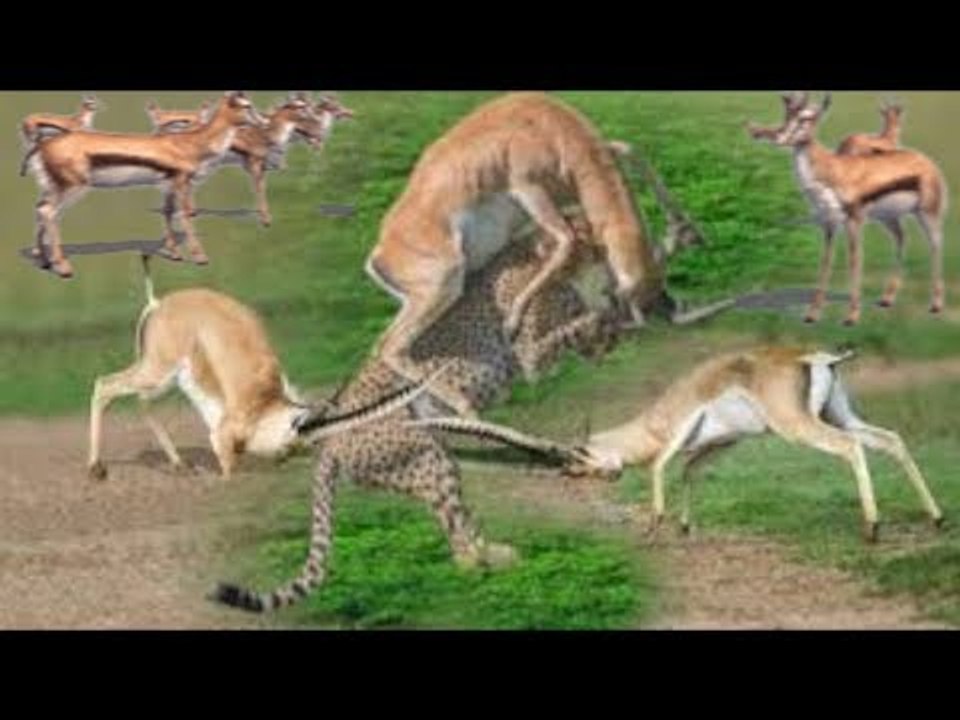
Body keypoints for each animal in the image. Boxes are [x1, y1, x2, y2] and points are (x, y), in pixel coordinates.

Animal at [25, 91, 267, 278]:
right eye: (247, 106)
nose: (264, 122)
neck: (190, 144)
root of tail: (42, 145)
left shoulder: (168, 185)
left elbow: (167, 212)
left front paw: (175, 253)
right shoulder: (181, 183)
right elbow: (185, 216)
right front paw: (200, 257)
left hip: (52, 187)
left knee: (39, 209)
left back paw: (44, 261)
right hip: (72, 187)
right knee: (48, 212)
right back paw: (63, 268)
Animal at [88, 255, 444, 482]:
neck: (265, 401)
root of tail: (159, 304)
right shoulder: (223, 438)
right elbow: (228, 472)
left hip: (162, 382)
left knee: (139, 402)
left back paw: (178, 465)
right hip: (156, 373)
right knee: (105, 385)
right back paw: (97, 470)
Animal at [365, 92, 703, 416]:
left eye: (661, 284)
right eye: (635, 299)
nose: (666, 311)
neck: (549, 125)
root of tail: (380, 255)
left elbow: (632, 150)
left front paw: (689, 227)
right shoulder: (528, 189)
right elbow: (566, 241)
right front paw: (512, 323)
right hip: (444, 283)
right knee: (388, 346)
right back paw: (466, 406)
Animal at [409, 346, 945, 544]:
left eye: (576, 460)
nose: (599, 479)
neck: (654, 418)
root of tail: (816, 358)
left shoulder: (677, 436)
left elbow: (659, 468)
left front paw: (654, 527)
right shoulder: (720, 444)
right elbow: (689, 471)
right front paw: (686, 527)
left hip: (800, 427)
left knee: (851, 449)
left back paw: (873, 528)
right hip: (840, 414)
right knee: (890, 440)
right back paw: (935, 519)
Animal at [748, 93, 947, 323]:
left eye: (806, 118)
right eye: (787, 115)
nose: (778, 137)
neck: (833, 170)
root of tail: (926, 161)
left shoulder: (854, 220)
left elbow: (854, 259)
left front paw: (851, 316)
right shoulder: (829, 222)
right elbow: (826, 261)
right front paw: (812, 314)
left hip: (927, 212)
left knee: (935, 244)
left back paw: (935, 305)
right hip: (888, 217)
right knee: (901, 238)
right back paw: (886, 299)